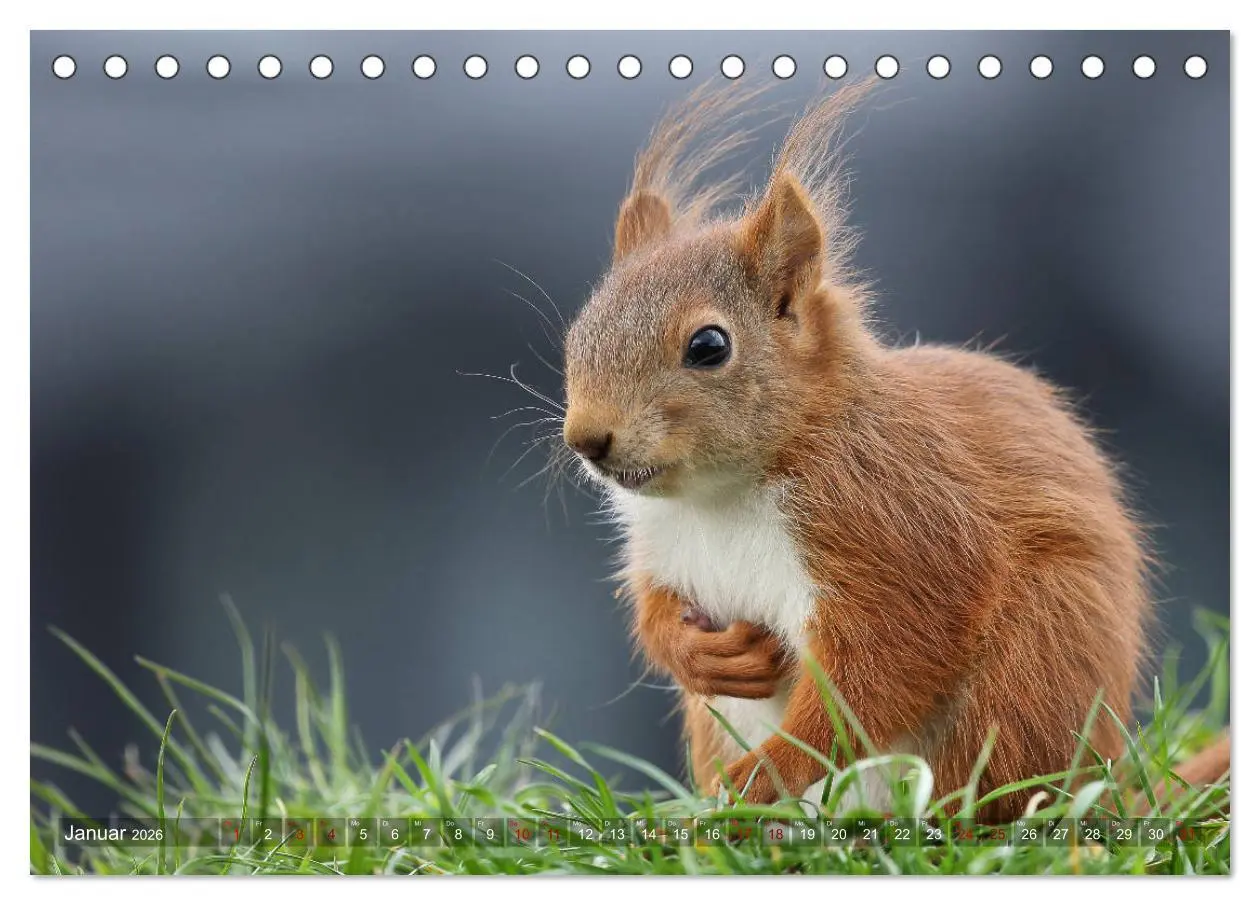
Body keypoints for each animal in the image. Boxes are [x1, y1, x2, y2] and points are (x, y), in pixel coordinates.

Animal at [558, 81, 1221, 822]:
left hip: (1029, 670)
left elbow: (884, 662)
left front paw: (772, 769)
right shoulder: (665, 548)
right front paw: (695, 654)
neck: (721, 495)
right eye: (579, 329)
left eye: (708, 346)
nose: (587, 438)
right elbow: (654, 610)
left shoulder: (896, 519)